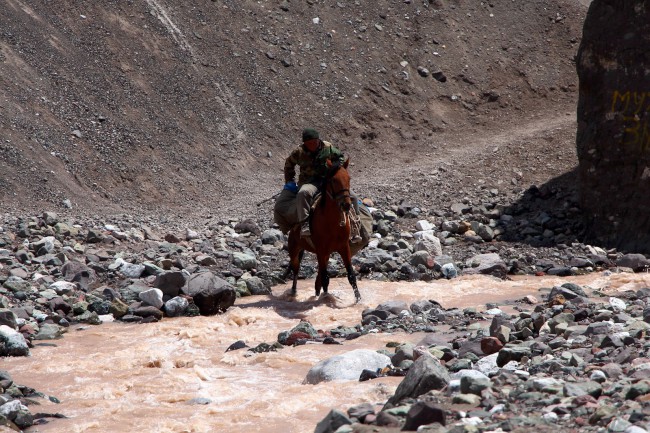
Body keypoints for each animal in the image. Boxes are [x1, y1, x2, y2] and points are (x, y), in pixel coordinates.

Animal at [282, 157, 360, 302]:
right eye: (333, 180)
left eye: (349, 178)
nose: (346, 205)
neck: (332, 223)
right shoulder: (320, 249)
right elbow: (325, 278)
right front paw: (325, 299)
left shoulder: (344, 247)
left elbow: (351, 275)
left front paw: (358, 299)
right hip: (294, 249)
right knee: (296, 269)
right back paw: (294, 291)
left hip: (326, 254)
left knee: (317, 277)